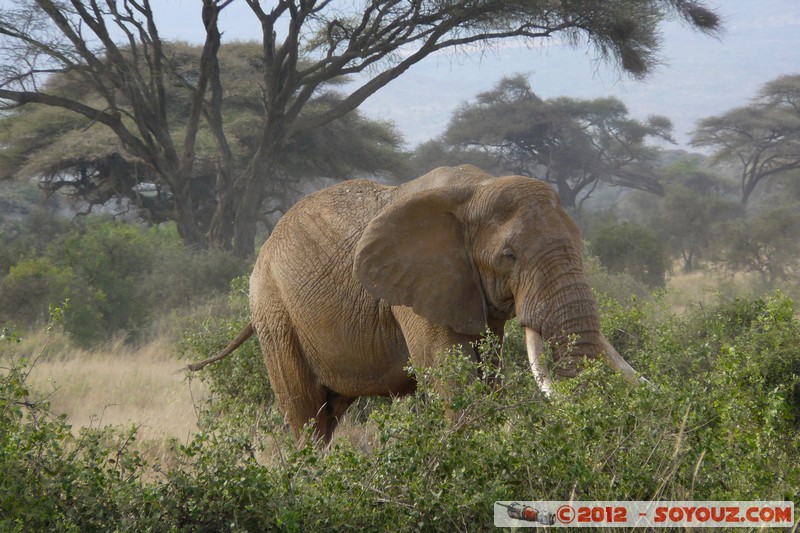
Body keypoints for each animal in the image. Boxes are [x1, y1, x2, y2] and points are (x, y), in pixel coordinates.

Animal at [189, 165, 644, 440]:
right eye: (508, 256)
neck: (476, 189)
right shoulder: (414, 289)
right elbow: (452, 379)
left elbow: (488, 376)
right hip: (274, 310)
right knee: (306, 416)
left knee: (330, 413)